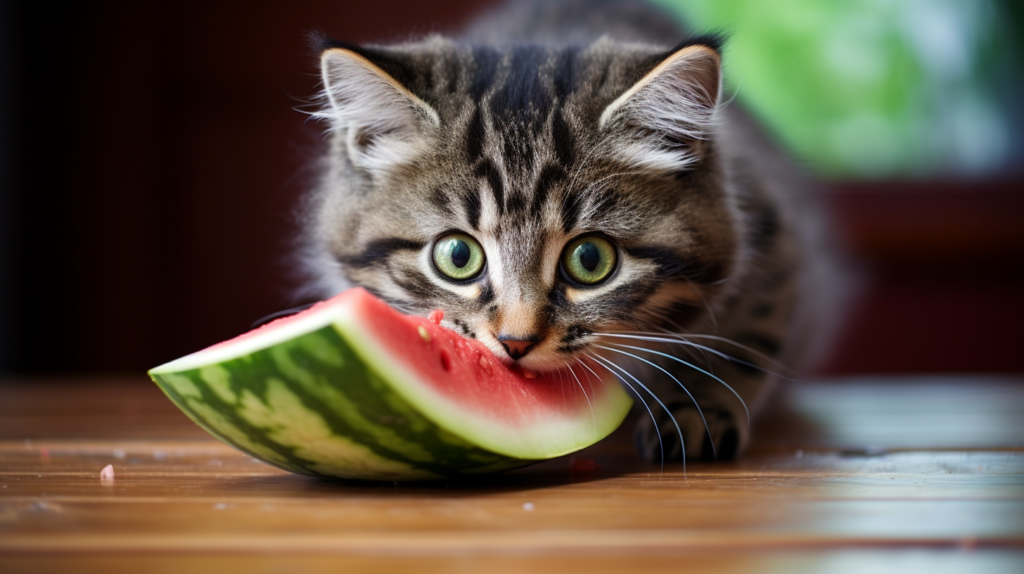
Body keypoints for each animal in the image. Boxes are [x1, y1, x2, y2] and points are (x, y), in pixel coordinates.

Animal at [299, 0, 839, 458]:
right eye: (458, 256)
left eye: (590, 260)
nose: (516, 343)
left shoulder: (775, 242)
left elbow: (740, 345)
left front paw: (696, 412)